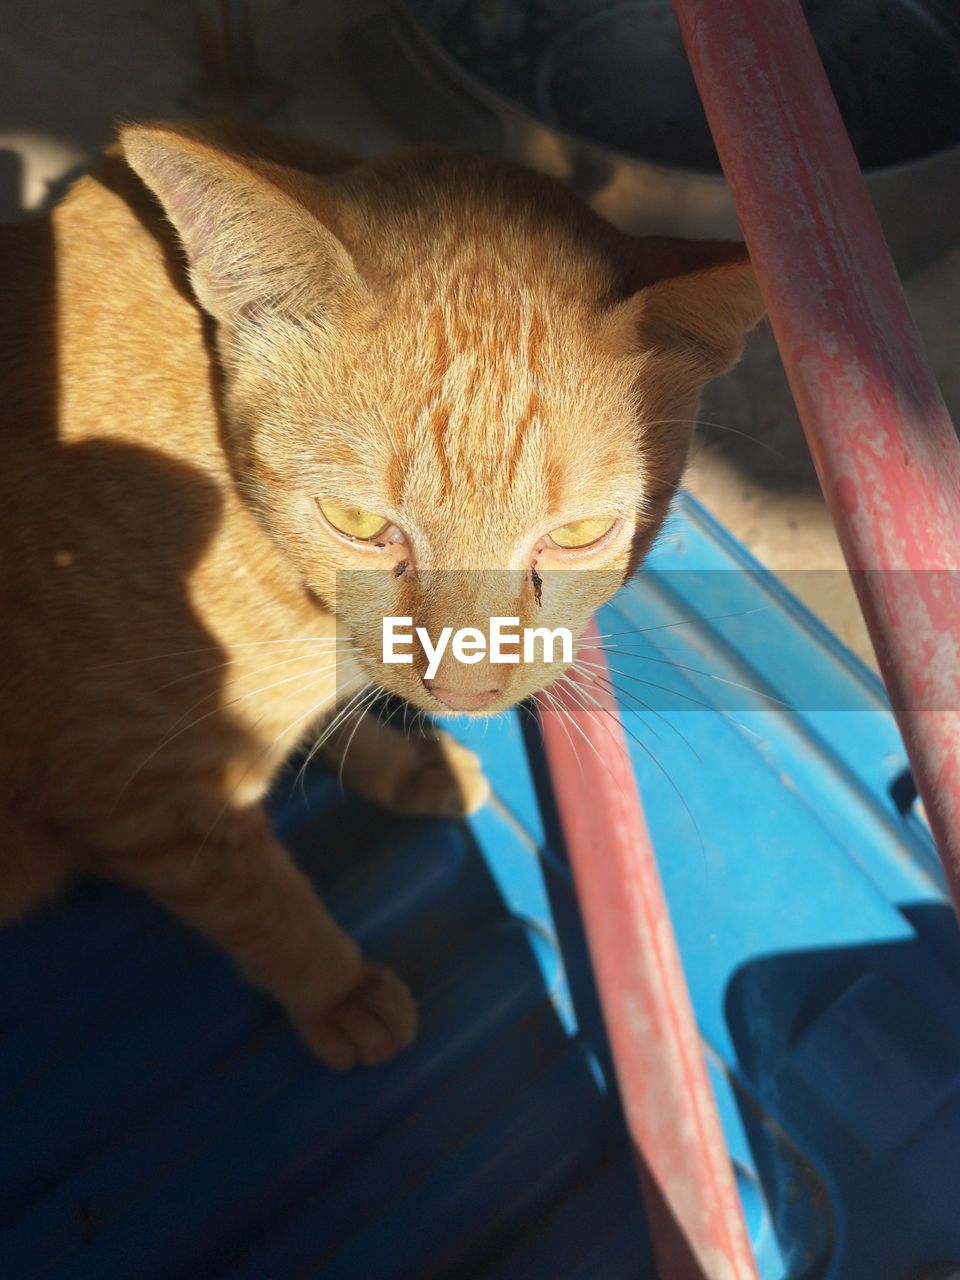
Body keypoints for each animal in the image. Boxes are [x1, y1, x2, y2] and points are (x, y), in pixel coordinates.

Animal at [0, 120, 768, 1064]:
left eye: (579, 534)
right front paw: (337, 986)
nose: (468, 691)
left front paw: (404, 767)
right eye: (358, 522)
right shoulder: (130, 793)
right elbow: (253, 897)